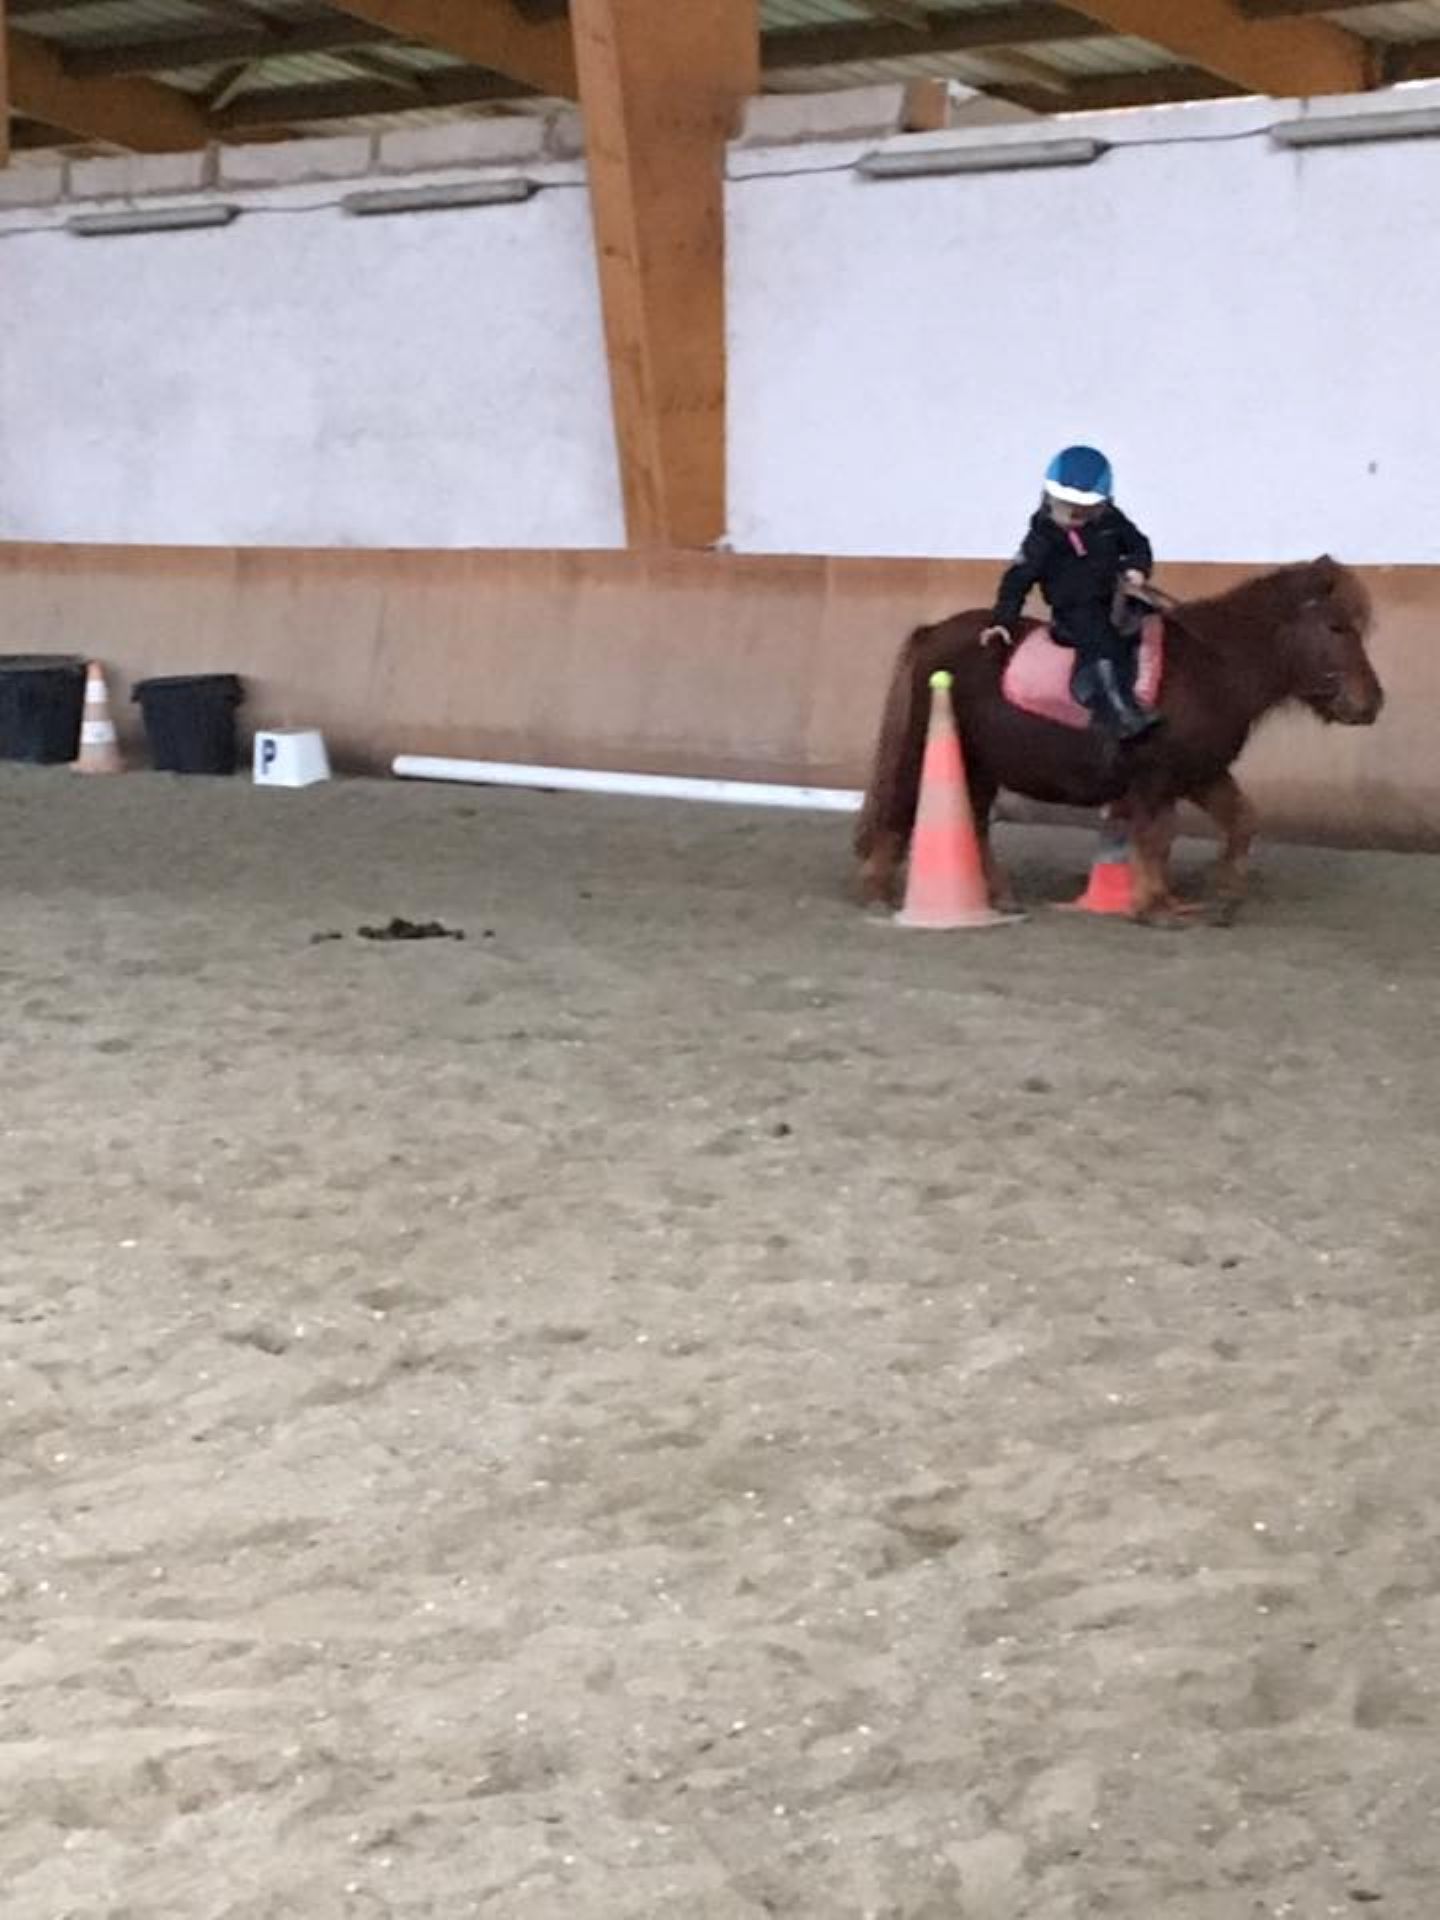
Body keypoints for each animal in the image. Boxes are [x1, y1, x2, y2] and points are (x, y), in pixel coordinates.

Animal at [854, 556, 1384, 923]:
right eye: (1336, 627)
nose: (1371, 703)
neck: (1211, 668)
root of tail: (931, 634)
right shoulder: (1157, 777)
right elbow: (1155, 837)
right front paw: (1154, 906)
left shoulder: (1200, 773)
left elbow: (1241, 821)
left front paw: (1224, 896)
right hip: (930, 748)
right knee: (902, 811)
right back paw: (879, 893)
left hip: (979, 763)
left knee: (976, 824)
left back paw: (999, 896)